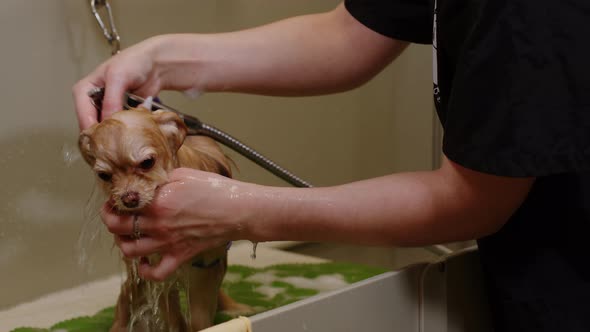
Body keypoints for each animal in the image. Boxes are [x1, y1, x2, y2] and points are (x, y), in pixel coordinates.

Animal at [79, 105, 245, 330]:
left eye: (147, 163)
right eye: (104, 176)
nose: (129, 198)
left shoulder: (205, 272)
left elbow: (200, 319)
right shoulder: (157, 275)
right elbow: (173, 317)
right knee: (126, 294)